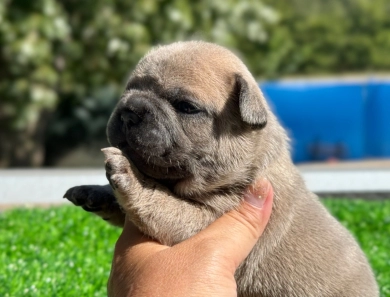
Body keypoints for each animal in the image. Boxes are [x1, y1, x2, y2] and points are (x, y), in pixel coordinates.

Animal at [64, 40, 378, 294]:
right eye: (129, 90)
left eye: (185, 107)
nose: (129, 110)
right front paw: (95, 192)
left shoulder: (206, 220)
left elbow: (160, 204)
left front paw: (130, 174)